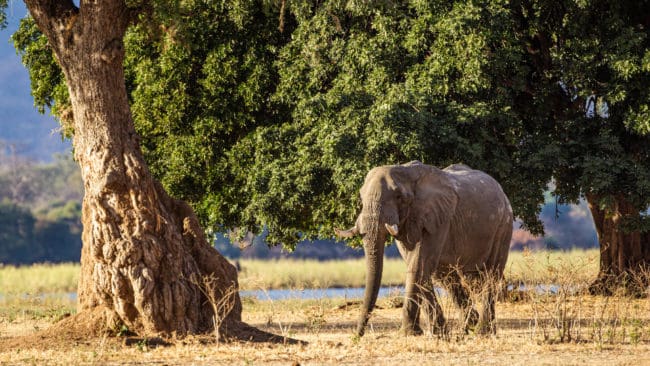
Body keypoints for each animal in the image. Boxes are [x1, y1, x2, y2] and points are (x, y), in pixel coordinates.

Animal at [334, 162, 512, 336]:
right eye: (361, 197)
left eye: (399, 197)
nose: (357, 335)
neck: (406, 171)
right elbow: (419, 267)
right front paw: (438, 333)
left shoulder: (438, 218)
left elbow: (419, 265)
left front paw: (409, 333)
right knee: (446, 277)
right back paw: (469, 327)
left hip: (503, 226)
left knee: (491, 273)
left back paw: (483, 331)